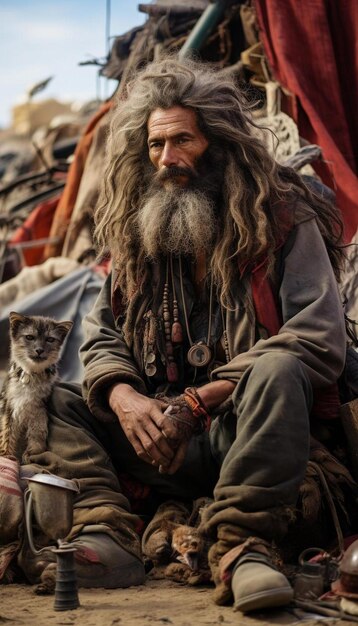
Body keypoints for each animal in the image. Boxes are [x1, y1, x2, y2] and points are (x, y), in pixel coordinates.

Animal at [0, 312, 72, 464]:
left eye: (50, 339)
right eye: (29, 337)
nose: (39, 350)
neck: (32, 374)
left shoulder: (39, 411)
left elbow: (38, 434)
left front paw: (33, 453)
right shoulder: (10, 407)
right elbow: (7, 433)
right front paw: (6, 455)